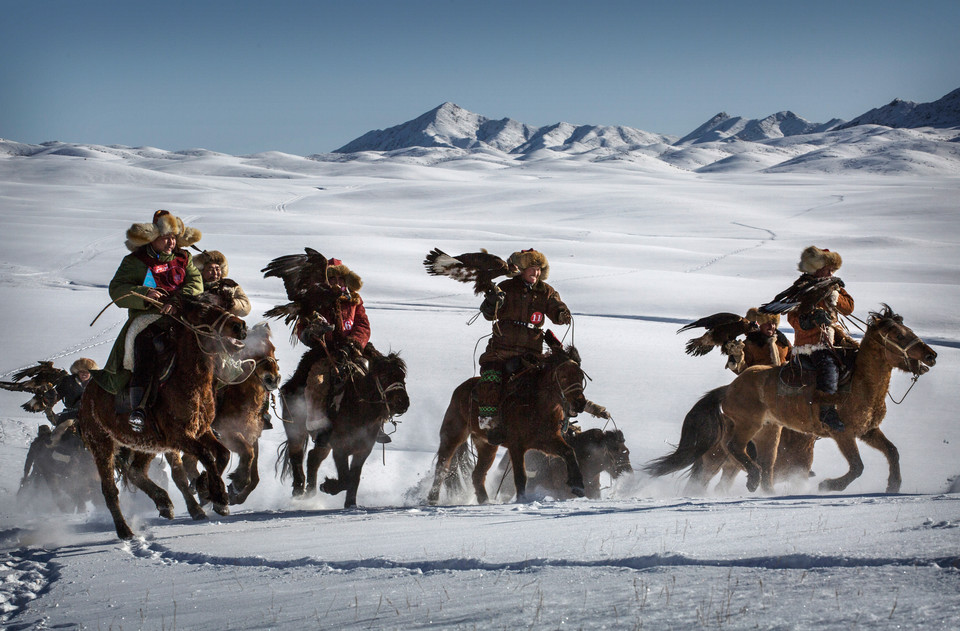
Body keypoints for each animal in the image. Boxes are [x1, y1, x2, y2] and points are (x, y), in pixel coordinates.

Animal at [78, 296, 248, 540]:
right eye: (203, 311)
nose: (240, 326)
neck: (187, 380)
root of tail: (86, 397)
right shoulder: (179, 436)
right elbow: (207, 455)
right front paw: (219, 497)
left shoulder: (201, 430)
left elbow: (222, 454)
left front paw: (207, 488)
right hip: (102, 444)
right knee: (110, 490)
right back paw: (124, 530)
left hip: (146, 444)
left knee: (135, 471)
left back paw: (164, 503)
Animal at [172, 324, 282, 512]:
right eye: (252, 350)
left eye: (273, 348)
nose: (273, 379)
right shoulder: (228, 433)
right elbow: (247, 453)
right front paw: (237, 483)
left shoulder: (253, 435)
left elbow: (254, 474)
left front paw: (236, 493)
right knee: (189, 461)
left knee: (189, 461)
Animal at [280, 344, 410, 512]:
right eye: (384, 376)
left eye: (402, 376)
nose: (403, 402)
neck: (359, 410)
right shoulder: (340, 449)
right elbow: (346, 479)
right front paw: (328, 486)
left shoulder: (363, 450)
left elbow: (354, 477)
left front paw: (351, 504)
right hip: (295, 429)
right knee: (296, 455)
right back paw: (298, 490)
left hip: (324, 443)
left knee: (313, 457)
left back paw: (310, 491)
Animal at [430, 338, 592, 506]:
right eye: (563, 376)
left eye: (580, 376)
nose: (580, 403)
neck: (536, 406)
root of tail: (460, 389)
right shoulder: (516, 445)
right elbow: (520, 476)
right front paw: (522, 500)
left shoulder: (547, 441)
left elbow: (569, 452)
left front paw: (578, 485)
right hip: (453, 435)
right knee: (442, 466)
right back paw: (432, 498)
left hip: (487, 446)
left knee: (477, 475)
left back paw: (485, 501)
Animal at [644, 304, 936, 494]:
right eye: (898, 335)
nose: (931, 355)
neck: (858, 384)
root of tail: (727, 389)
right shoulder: (843, 434)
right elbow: (857, 467)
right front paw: (829, 485)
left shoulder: (868, 431)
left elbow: (892, 451)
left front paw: (894, 485)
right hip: (744, 429)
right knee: (733, 451)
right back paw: (752, 479)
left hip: (769, 431)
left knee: (763, 464)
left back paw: (764, 489)